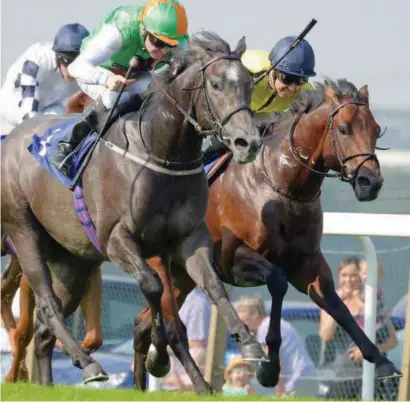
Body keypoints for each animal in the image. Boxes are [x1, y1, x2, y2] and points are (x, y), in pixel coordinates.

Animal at [0, 31, 262, 390]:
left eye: (249, 83)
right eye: (217, 85)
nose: (248, 142)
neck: (161, 151)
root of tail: (12, 138)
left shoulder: (189, 239)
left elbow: (213, 285)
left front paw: (248, 342)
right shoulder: (116, 240)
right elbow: (153, 287)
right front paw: (159, 357)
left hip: (72, 261)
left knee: (43, 327)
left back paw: (51, 383)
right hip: (24, 233)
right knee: (48, 305)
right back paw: (88, 364)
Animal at [129, 77, 400, 390]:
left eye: (375, 129)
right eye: (343, 129)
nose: (371, 182)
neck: (282, 187)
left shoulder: (308, 264)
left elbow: (338, 306)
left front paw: (382, 361)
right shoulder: (233, 258)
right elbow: (278, 281)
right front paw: (268, 368)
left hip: (182, 275)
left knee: (142, 324)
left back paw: (142, 382)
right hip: (161, 263)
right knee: (174, 327)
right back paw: (195, 381)